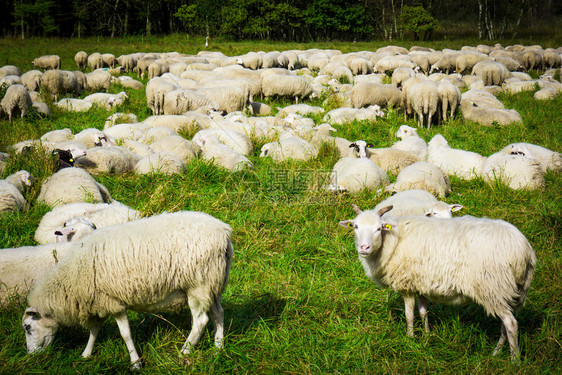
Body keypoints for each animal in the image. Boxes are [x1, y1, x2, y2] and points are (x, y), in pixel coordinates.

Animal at [21, 212, 232, 370]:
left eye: (27, 327)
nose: (30, 355)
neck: (71, 275)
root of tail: (224, 232)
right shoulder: (98, 301)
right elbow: (95, 330)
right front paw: (86, 354)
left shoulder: (113, 301)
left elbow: (125, 334)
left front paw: (135, 363)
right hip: (212, 283)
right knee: (218, 313)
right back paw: (218, 349)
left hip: (198, 284)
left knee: (200, 321)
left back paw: (184, 352)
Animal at [336, 206, 532, 362]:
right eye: (356, 226)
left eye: (378, 228)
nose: (364, 248)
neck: (393, 241)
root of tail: (521, 251)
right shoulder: (421, 283)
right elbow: (423, 311)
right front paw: (427, 337)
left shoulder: (406, 284)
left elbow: (409, 315)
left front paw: (410, 339)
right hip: (510, 291)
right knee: (506, 324)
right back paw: (497, 353)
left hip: (492, 287)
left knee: (511, 324)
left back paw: (514, 360)